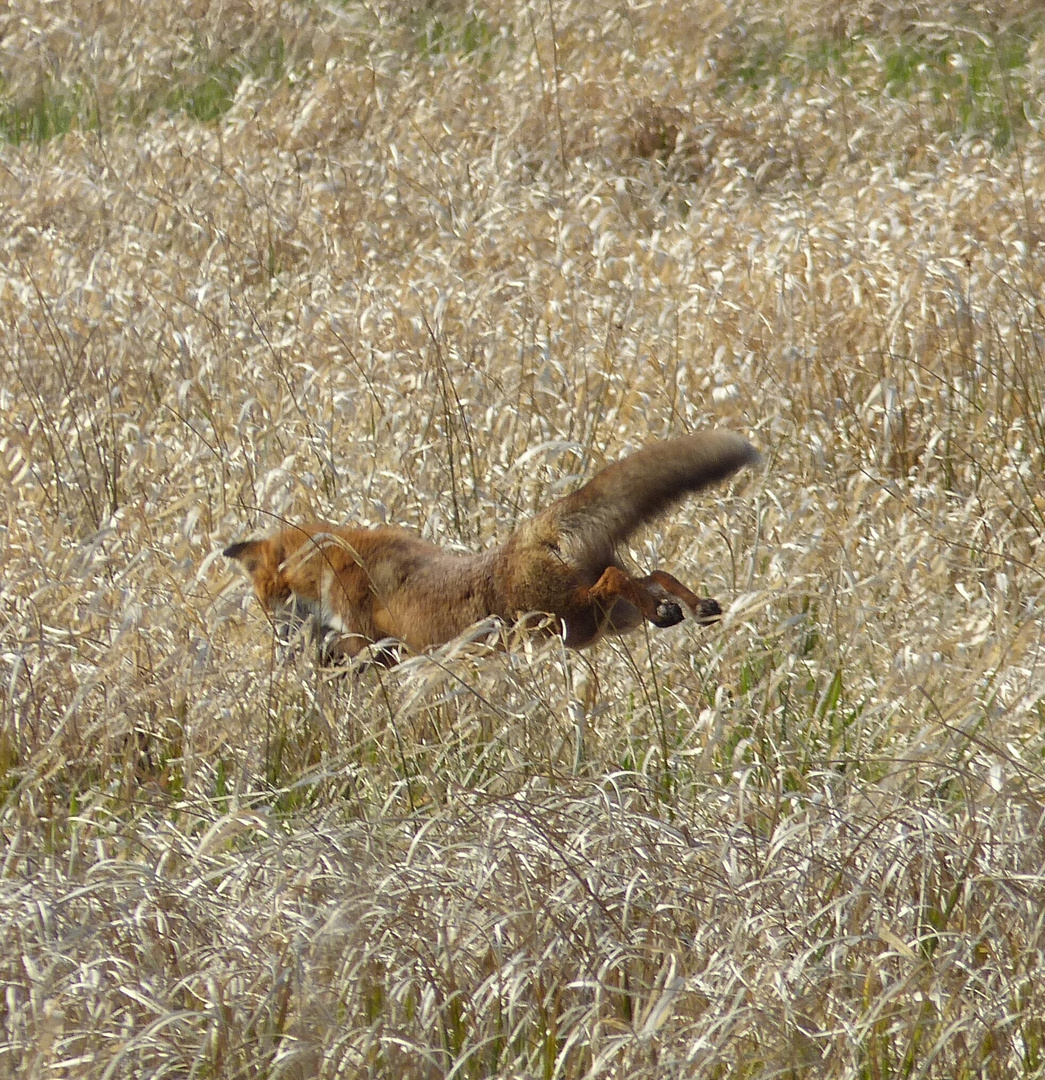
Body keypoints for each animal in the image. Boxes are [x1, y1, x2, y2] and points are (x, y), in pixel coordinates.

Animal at [224, 432, 760, 665]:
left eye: (268, 602)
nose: (278, 644)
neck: (331, 563)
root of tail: (529, 533)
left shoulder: (371, 646)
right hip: (599, 624)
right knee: (653, 575)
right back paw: (692, 606)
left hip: (568, 615)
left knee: (619, 579)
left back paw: (673, 607)